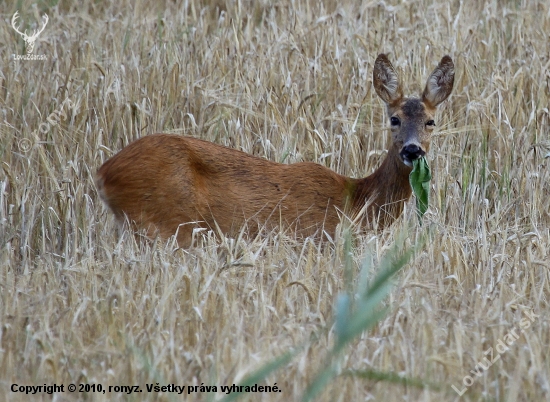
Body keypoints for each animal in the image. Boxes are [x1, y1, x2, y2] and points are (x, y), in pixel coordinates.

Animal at [96, 54, 458, 245]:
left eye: (431, 121)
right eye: (394, 119)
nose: (412, 151)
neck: (355, 201)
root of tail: (103, 172)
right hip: (166, 224)